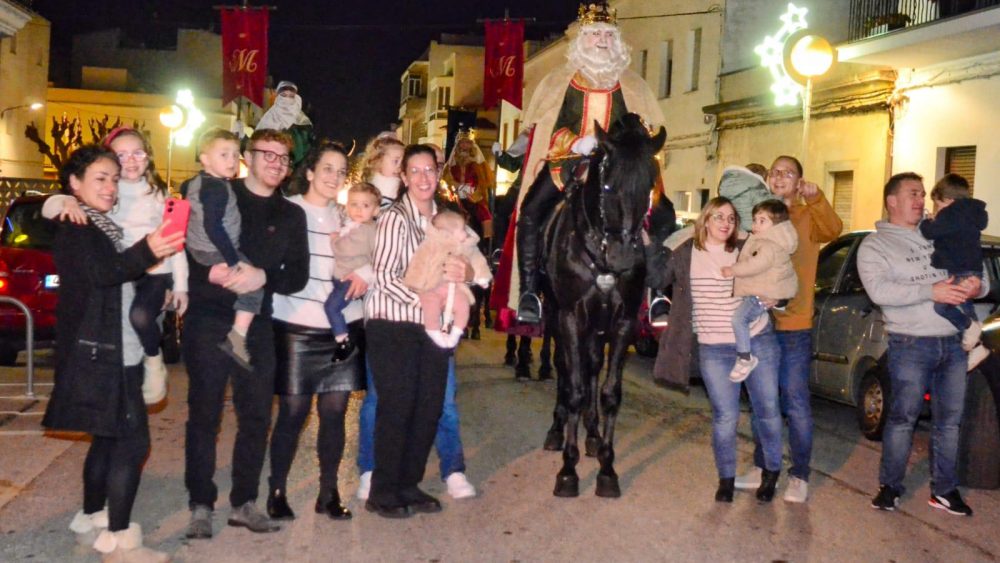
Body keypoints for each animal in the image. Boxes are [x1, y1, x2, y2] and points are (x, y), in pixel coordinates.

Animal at [540, 114, 664, 498]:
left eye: (649, 187)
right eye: (608, 186)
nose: (624, 258)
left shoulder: (623, 322)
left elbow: (609, 392)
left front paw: (607, 468)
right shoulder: (569, 317)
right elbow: (575, 388)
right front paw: (568, 469)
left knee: (592, 366)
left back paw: (593, 436)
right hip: (555, 317)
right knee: (565, 369)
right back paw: (557, 430)